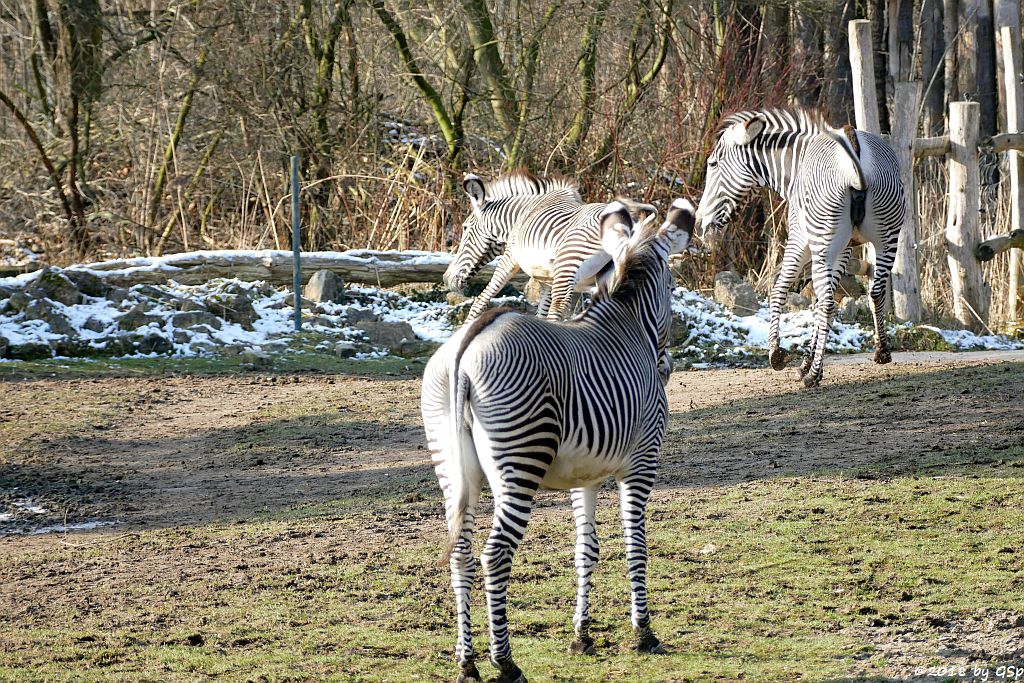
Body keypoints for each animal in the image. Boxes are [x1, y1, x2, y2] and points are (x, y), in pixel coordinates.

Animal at [417, 198, 696, 683]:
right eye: (674, 284)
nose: (667, 368)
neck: (629, 321)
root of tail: (468, 343)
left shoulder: (586, 475)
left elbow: (586, 549)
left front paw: (581, 636)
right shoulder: (642, 463)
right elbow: (635, 544)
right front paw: (643, 633)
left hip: (452, 465)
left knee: (461, 554)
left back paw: (467, 663)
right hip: (520, 461)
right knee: (494, 555)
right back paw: (505, 662)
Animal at [446, 169, 659, 321]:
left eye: (465, 227)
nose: (446, 278)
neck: (519, 216)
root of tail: (630, 222)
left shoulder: (510, 258)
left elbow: (481, 301)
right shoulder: (547, 278)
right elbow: (540, 314)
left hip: (568, 266)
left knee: (557, 312)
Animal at [696, 105, 905, 385]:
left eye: (713, 164)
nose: (699, 224)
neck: (796, 165)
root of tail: (854, 146)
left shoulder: (799, 239)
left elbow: (780, 289)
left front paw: (778, 354)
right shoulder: (845, 248)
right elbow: (819, 303)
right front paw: (806, 362)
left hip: (824, 243)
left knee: (828, 303)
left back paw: (813, 376)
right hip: (887, 238)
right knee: (874, 292)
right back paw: (881, 352)